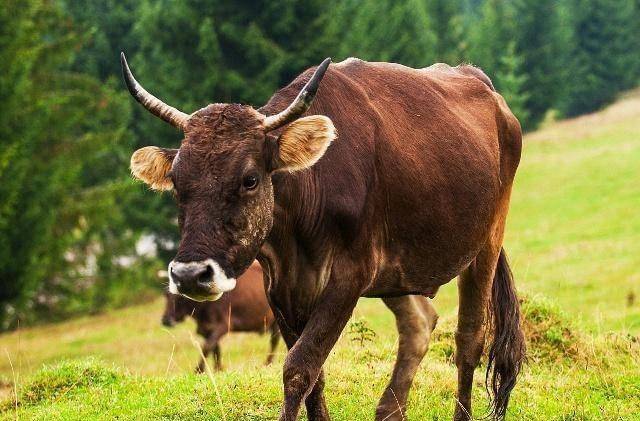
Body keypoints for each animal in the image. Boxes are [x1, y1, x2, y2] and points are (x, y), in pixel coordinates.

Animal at [121, 52, 524, 420]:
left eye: (250, 179)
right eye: (177, 183)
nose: (190, 275)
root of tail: (479, 81)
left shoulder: (350, 277)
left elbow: (299, 368)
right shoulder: (280, 285)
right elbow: (314, 375)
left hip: (487, 239)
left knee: (469, 338)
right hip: (398, 269)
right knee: (419, 324)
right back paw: (389, 410)